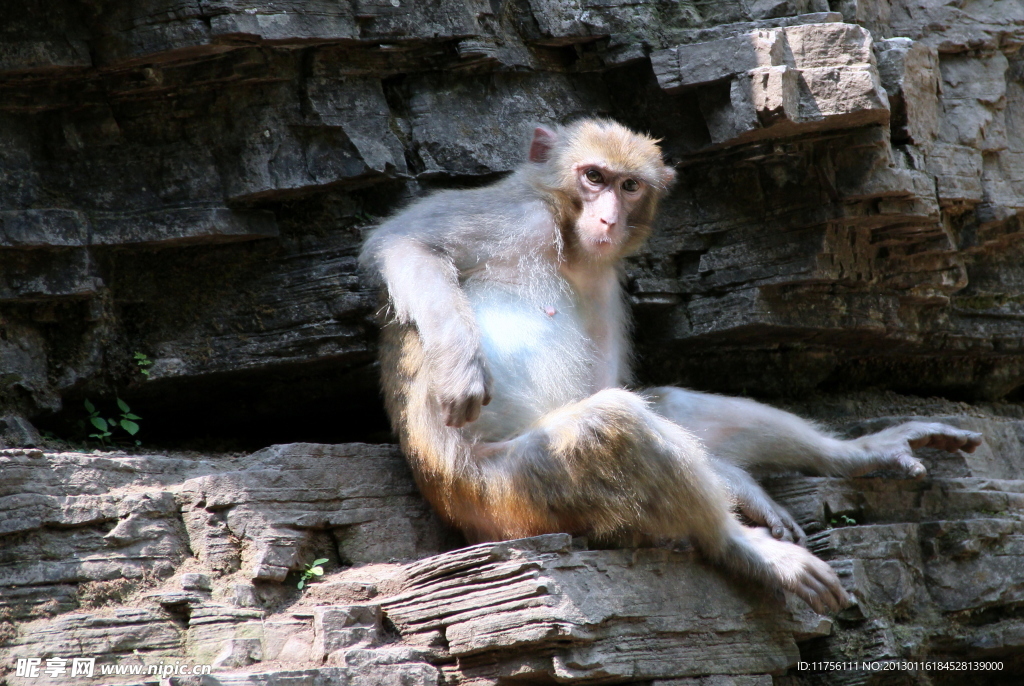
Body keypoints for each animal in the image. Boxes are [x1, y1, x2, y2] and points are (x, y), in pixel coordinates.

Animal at [356, 115, 978, 614]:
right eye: (593, 177)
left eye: (629, 186)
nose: (608, 219)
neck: (565, 236)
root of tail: (453, 514)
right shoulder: (513, 215)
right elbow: (404, 244)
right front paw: (460, 368)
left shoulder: (606, 282)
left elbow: (612, 383)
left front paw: (741, 482)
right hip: (503, 501)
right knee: (610, 425)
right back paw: (742, 548)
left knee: (656, 407)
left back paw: (852, 455)